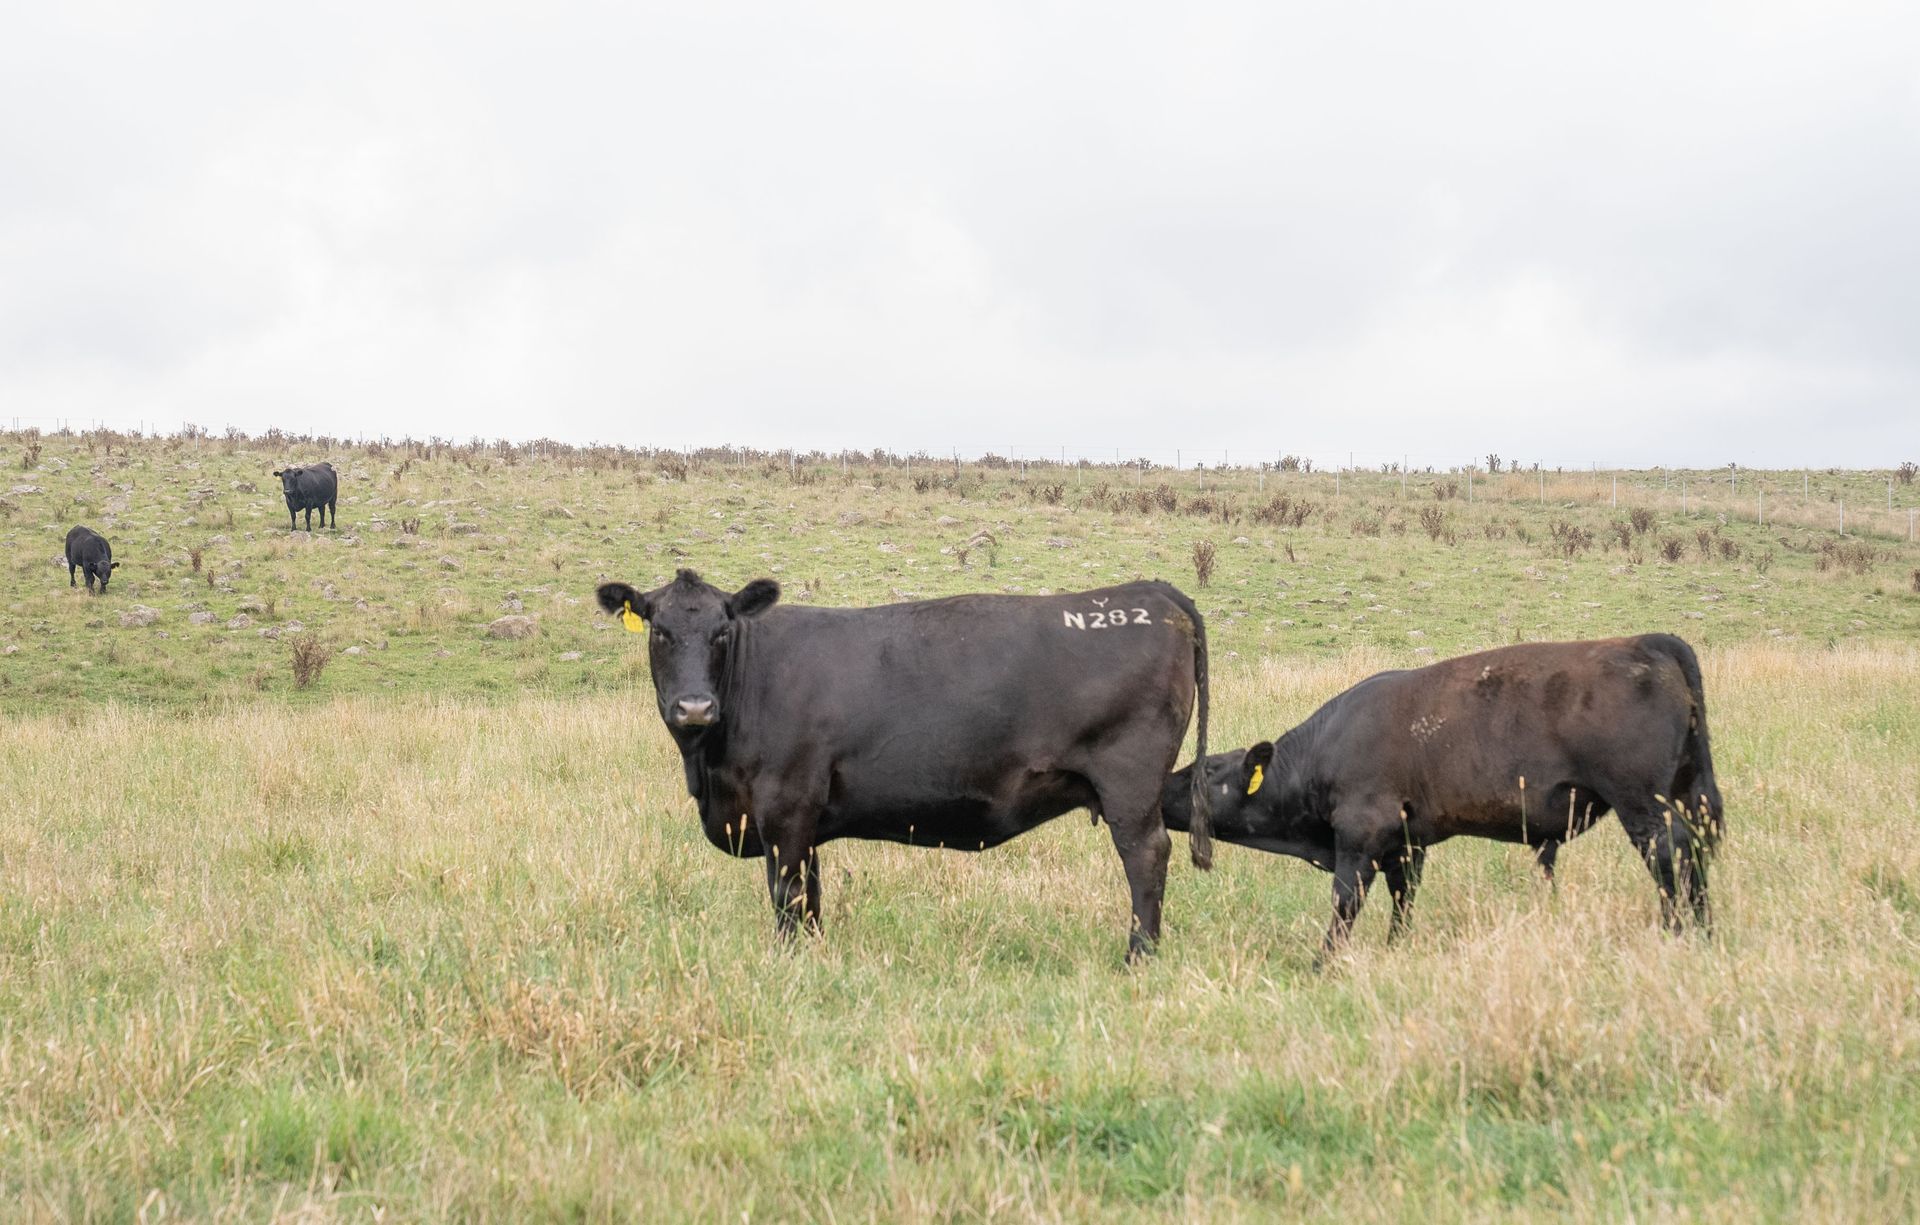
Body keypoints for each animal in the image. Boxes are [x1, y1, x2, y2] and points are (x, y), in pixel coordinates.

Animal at [595, 570, 1214, 960]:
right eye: (660, 631)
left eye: (721, 631)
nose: (695, 707)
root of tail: (1154, 593)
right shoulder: (804, 818)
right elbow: (812, 894)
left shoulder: (785, 807)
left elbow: (787, 894)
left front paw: (788, 961)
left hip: (1129, 784)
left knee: (1146, 856)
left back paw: (1139, 956)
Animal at [1159, 634, 1722, 959]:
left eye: (1208, 769)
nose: (1162, 787)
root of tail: (1647, 642)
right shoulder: (1407, 846)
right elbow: (1402, 901)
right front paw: (1395, 949)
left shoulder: (1360, 837)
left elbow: (1345, 903)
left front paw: (1323, 962)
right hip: (1684, 789)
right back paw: (1704, 931)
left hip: (1641, 802)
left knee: (1671, 852)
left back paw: (1678, 933)